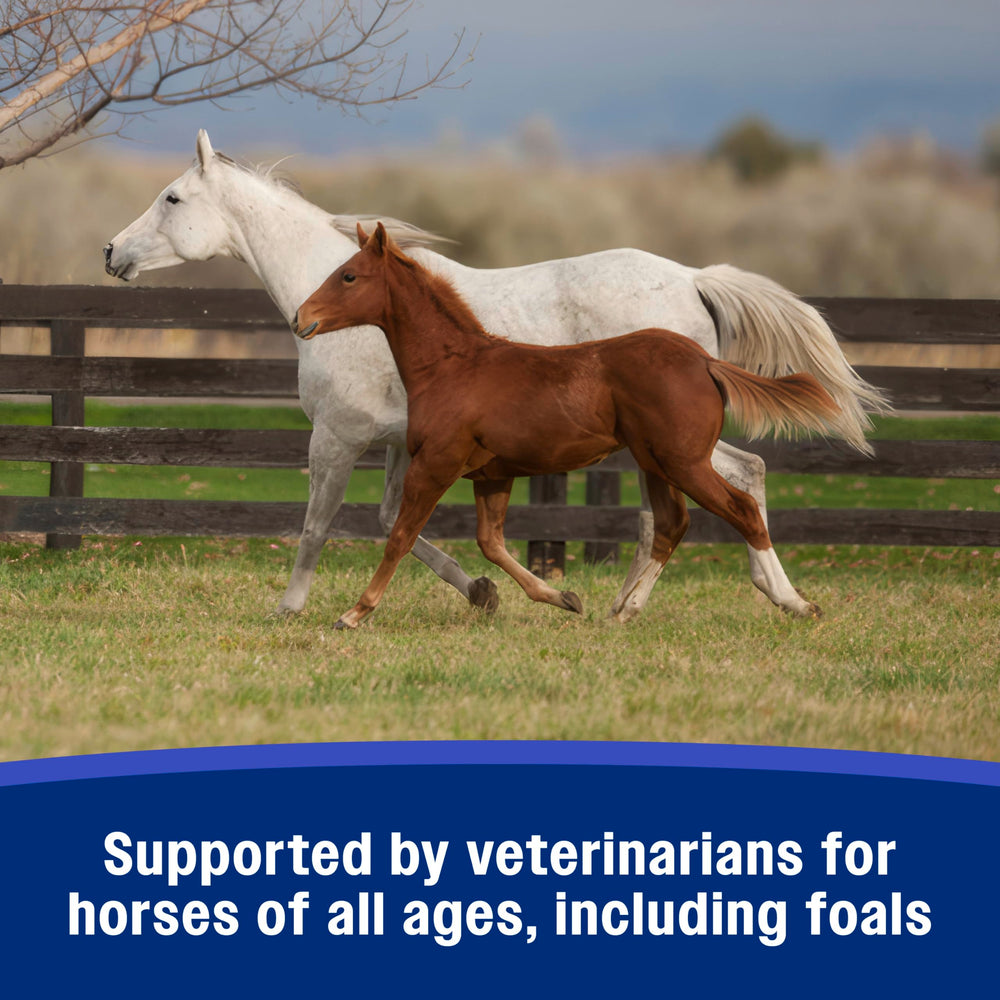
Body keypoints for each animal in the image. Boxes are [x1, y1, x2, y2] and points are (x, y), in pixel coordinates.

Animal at [294, 222, 844, 628]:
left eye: (348, 276)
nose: (301, 318)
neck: (454, 365)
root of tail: (704, 361)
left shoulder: (436, 464)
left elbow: (402, 536)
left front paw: (353, 614)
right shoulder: (493, 475)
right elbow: (491, 543)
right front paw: (562, 598)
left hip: (683, 461)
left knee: (741, 509)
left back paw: (795, 602)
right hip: (657, 463)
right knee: (671, 524)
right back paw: (623, 611)